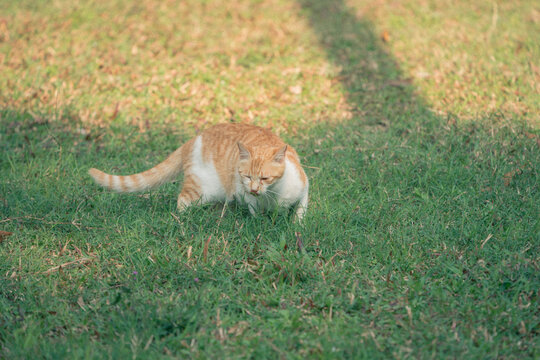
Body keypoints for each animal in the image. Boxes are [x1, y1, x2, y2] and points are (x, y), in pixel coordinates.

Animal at [88, 122, 308, 221]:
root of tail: (193, 139)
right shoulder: (248, 197)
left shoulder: (304, 187)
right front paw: (261, 222)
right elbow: (255, 213)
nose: (253, 189)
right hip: (202, 189)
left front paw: (296, 223)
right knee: (182, 199)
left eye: (264, 178)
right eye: (246, 176)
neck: (272, 195)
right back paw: (184, 219)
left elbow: (301, 210)